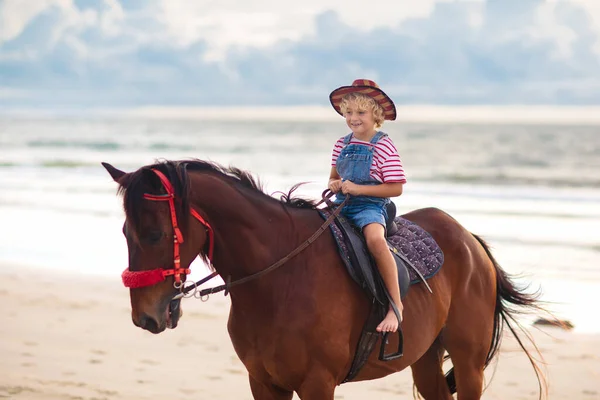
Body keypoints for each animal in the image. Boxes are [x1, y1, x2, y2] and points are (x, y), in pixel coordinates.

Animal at [104, 159, 548, 400]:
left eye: (155, 235)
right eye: (125, 232)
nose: (145, 317)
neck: (280, 281)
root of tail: (468, 239)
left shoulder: (318, 383)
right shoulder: (263, 382)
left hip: (469, 363)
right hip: (424, 356)